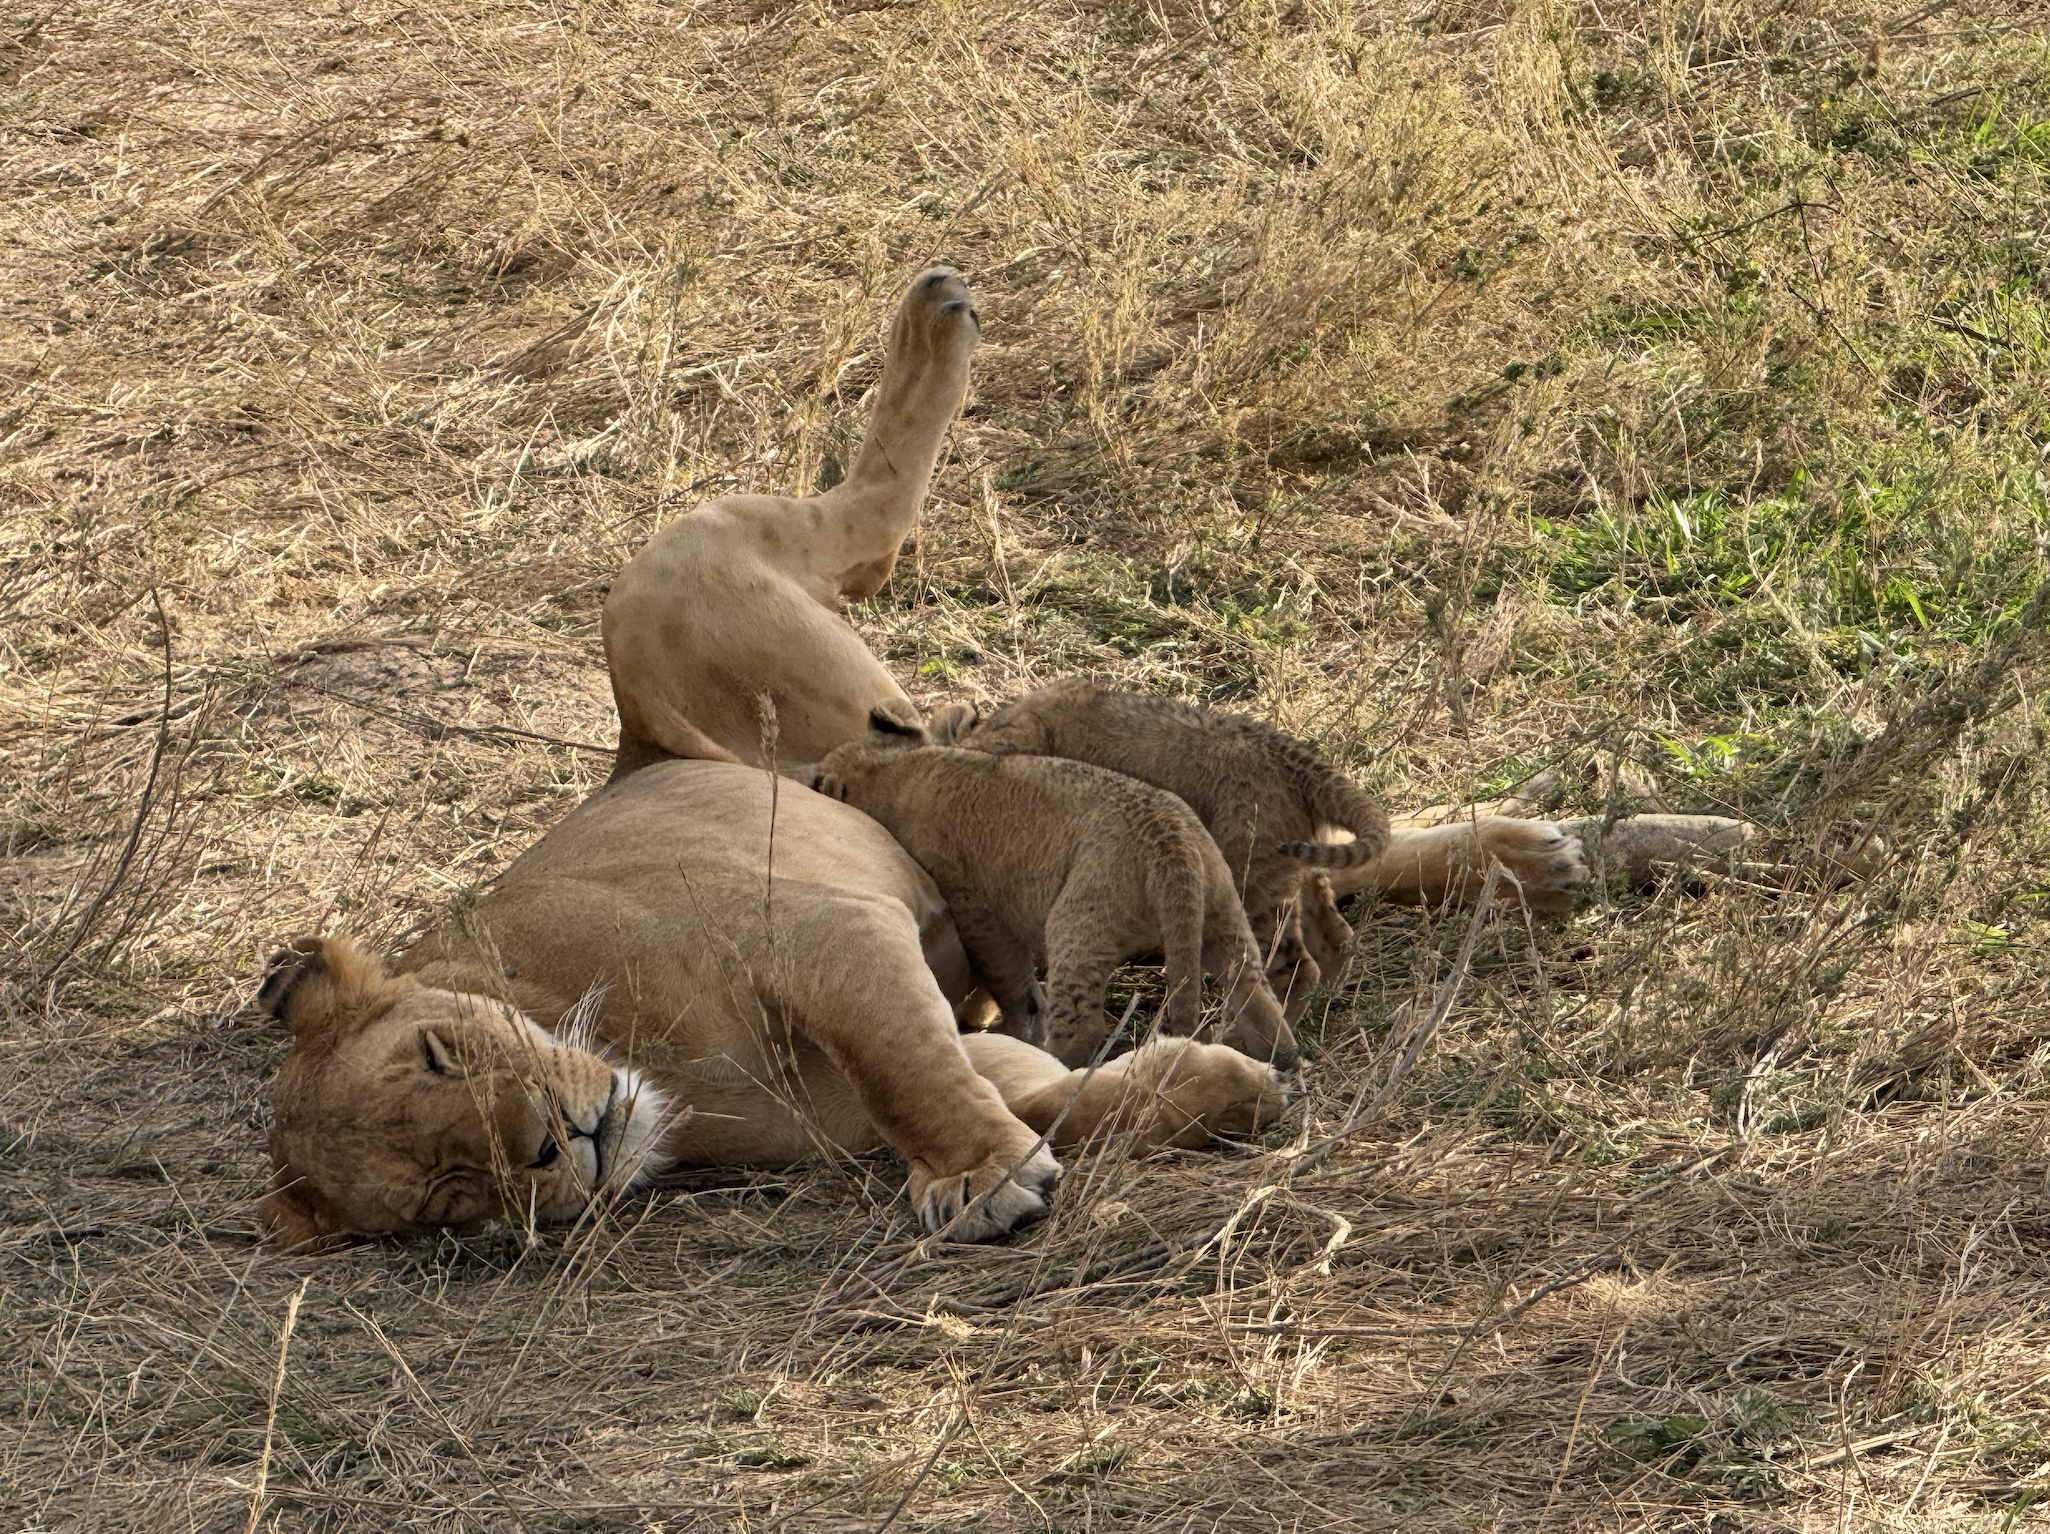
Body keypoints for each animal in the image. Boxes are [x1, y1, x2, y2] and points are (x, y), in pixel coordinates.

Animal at [811, 702, 1297, 1069]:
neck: (897, 771)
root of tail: (1170, 843)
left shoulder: (974, 905)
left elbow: (1006, 978)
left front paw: (1009, 1027)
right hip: (1223, 909)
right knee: (1255, 991)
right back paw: (1276, 1057)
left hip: (1078, 920)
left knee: (1084, 1026)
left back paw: (1054, 1065)